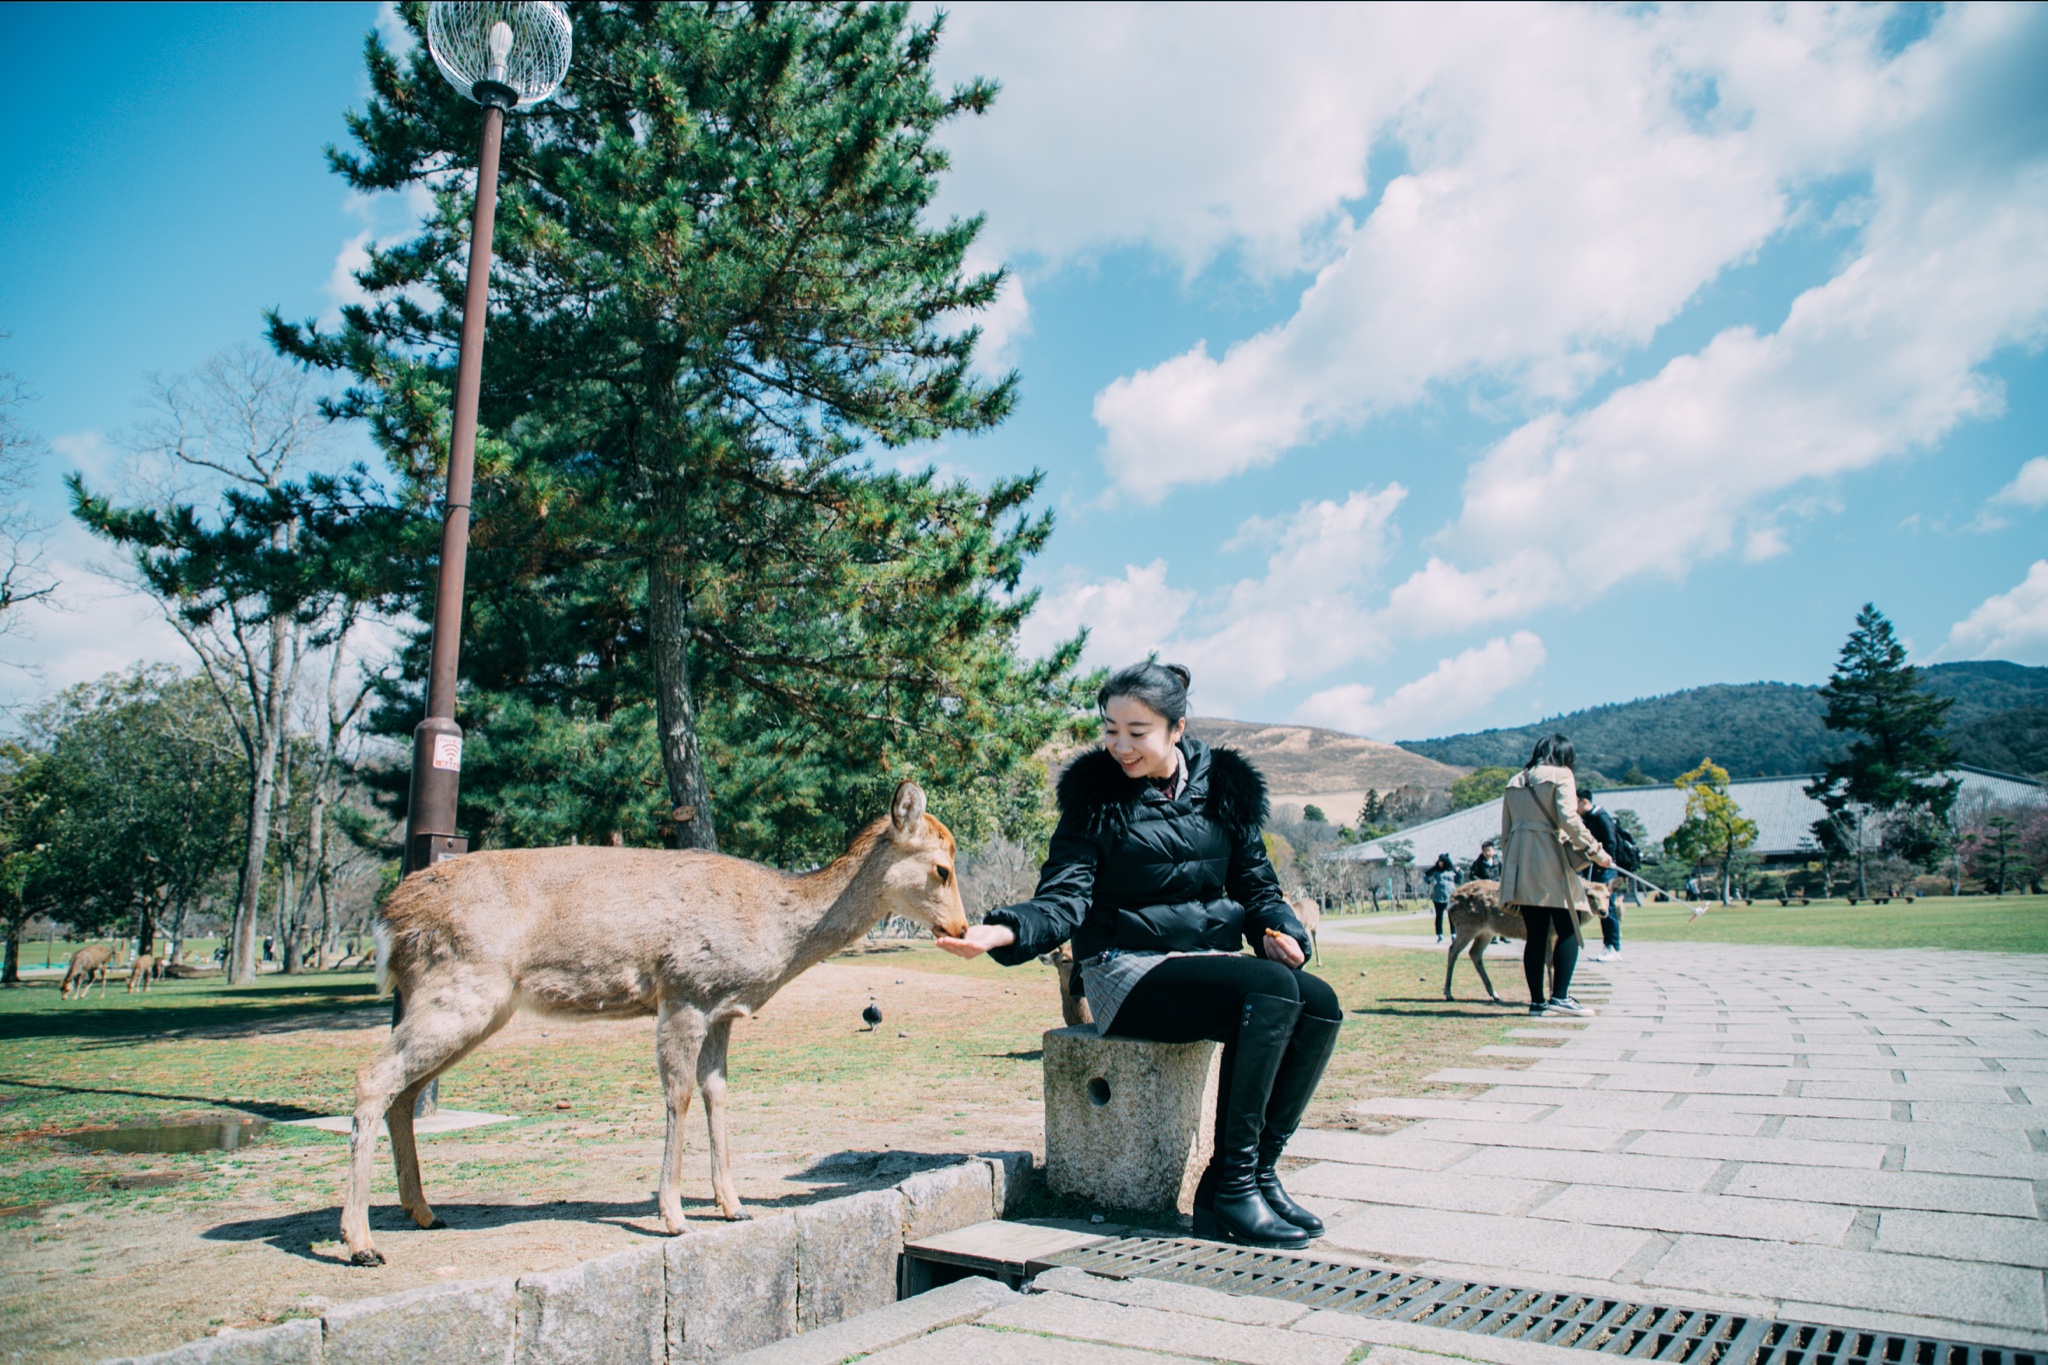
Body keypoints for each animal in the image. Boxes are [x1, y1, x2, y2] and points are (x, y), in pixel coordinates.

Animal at [337, 777, 966, 1268]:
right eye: (941, 868)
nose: (961, 928)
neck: (772, 933)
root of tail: (389, 921)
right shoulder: (684, 990)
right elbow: (679, 1094)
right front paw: (673, 1215)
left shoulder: (721, 1010)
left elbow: (717, 1093)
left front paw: (734, 1206)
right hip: (460, 988)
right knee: (373, 1077)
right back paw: (361, 1242)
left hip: (471, 1006)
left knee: (403, 1091)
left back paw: (422, 1212)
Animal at [1449, 875, 1605, 1002]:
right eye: (1590, 895)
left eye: (1607, 896)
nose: (1604, 911)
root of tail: (1451, 900)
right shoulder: (1549, 933)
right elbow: (1550, 962)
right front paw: (1551, 994)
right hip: (1467, 926)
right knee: (1453, 950)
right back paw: (1449, 993)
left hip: (1486, 931)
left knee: (1474, 953)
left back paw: (1495, 995)